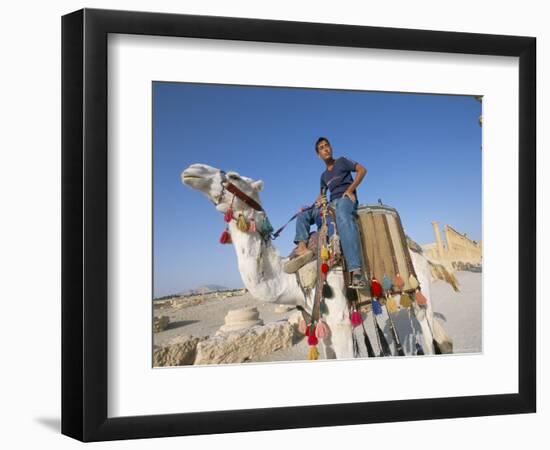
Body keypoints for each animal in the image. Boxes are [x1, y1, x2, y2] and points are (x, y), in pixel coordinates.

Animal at [183, 163, 450, 358]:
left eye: (235, 176)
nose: (192, 170)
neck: (291, 279)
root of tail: (417, 248)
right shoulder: (321, 325)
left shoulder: (340, 320)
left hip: (420, 285)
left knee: (427, 331)